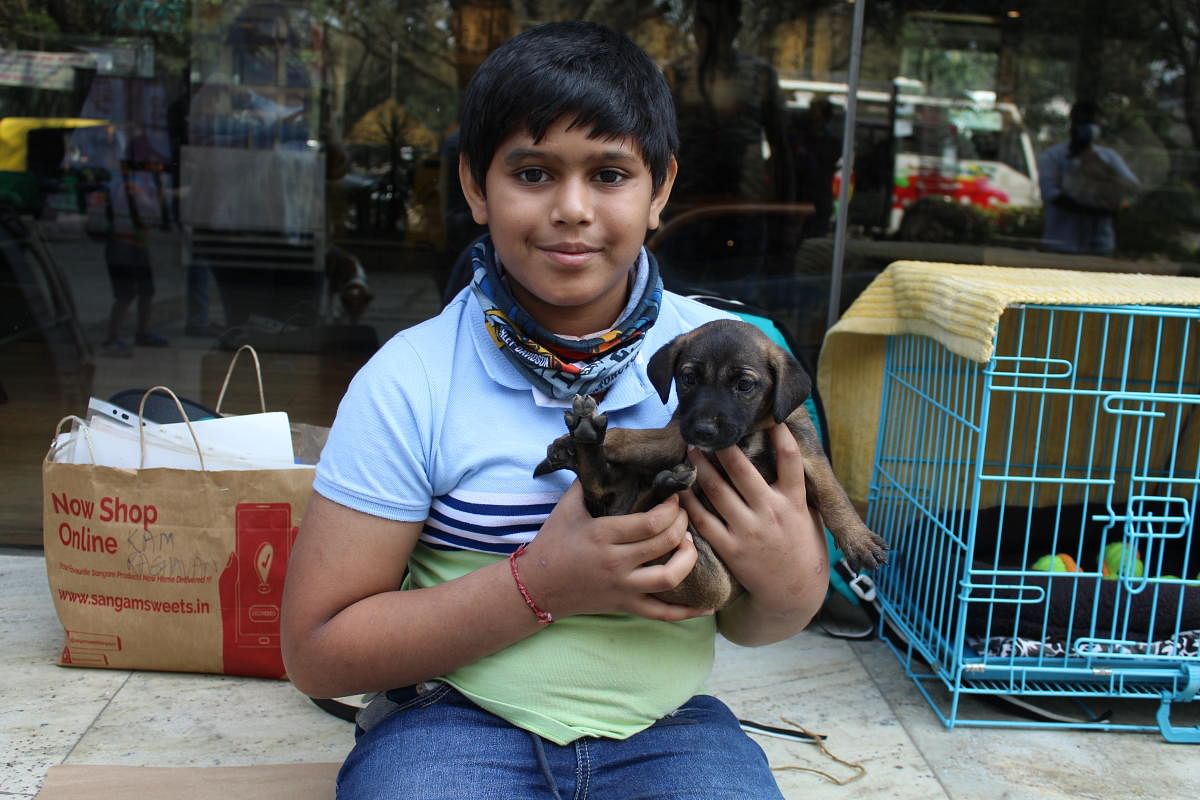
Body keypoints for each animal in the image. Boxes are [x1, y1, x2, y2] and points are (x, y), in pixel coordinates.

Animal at [540, 316, 888, 609]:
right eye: (688, 378)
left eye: (744, 385)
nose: (704, 430)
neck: (747, 435)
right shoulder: (674, 438)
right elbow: (627, 438)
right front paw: (570, 441)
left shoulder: (807, 452)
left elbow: (832, 493)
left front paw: (858, 539)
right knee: (619, 500)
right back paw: (589, 437)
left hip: (713, 584)